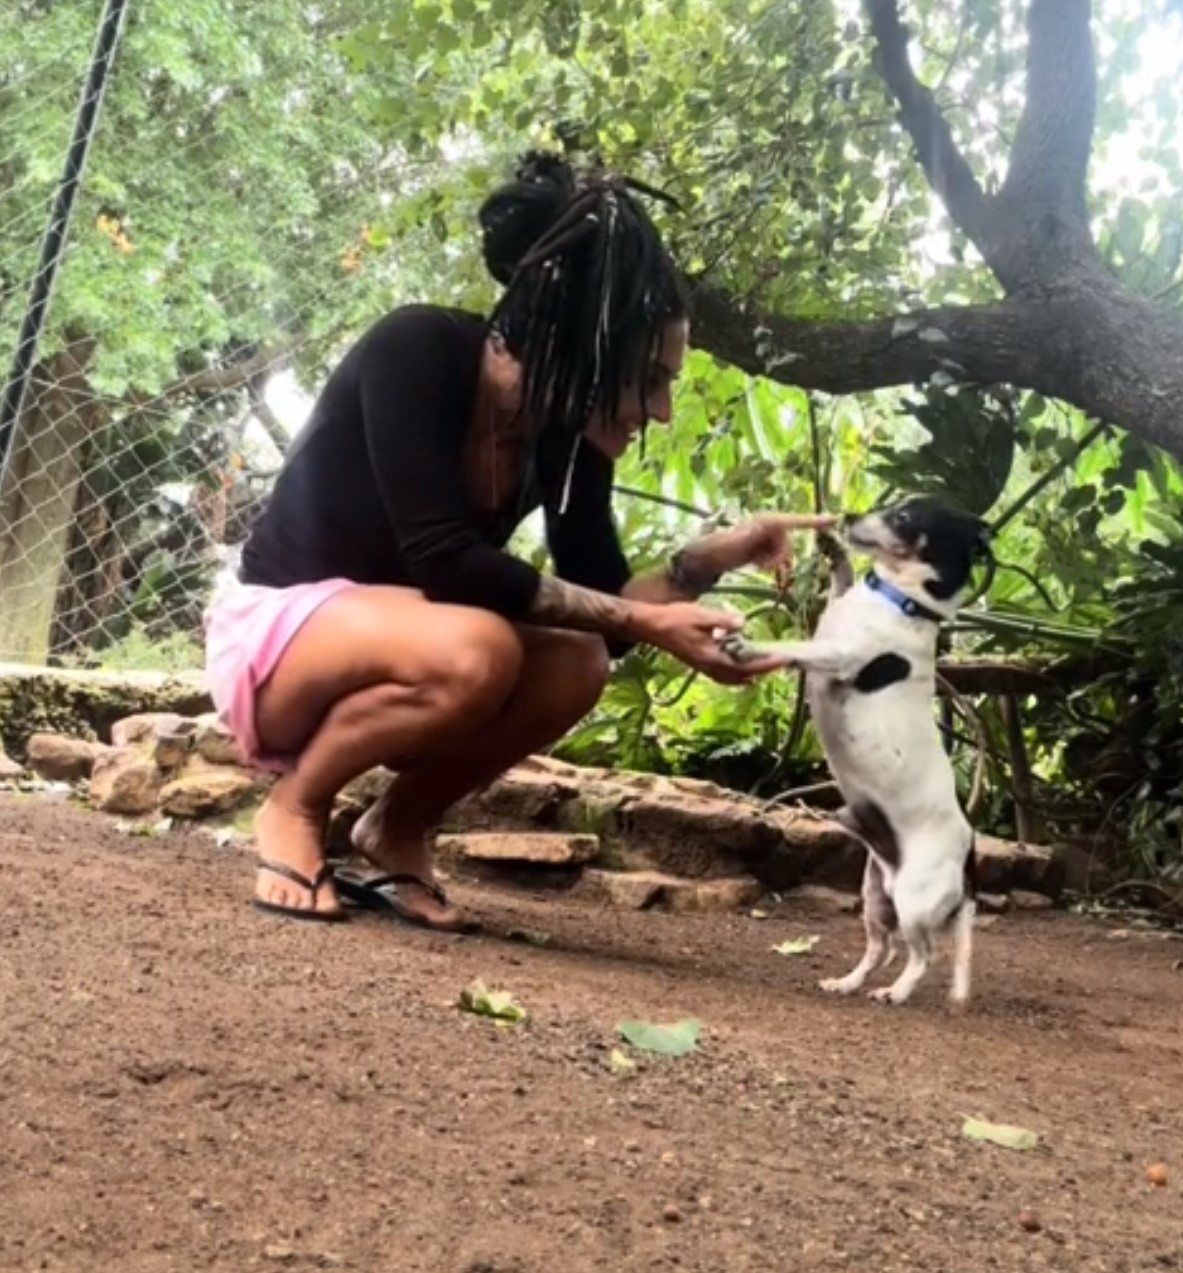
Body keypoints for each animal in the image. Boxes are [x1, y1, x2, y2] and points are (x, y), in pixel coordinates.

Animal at [723, 493, 993, 1003]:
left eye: (904, 516)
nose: (846, 516)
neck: (899, 599)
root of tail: (970, 852)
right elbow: (840, 578)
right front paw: (834, 549)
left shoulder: (836, 654)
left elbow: (793, 648)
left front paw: (746, 645)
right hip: (874, 895)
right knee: (881, 949)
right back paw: (847, 982)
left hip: (913, 901)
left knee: (923, 955)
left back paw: (897, 993)